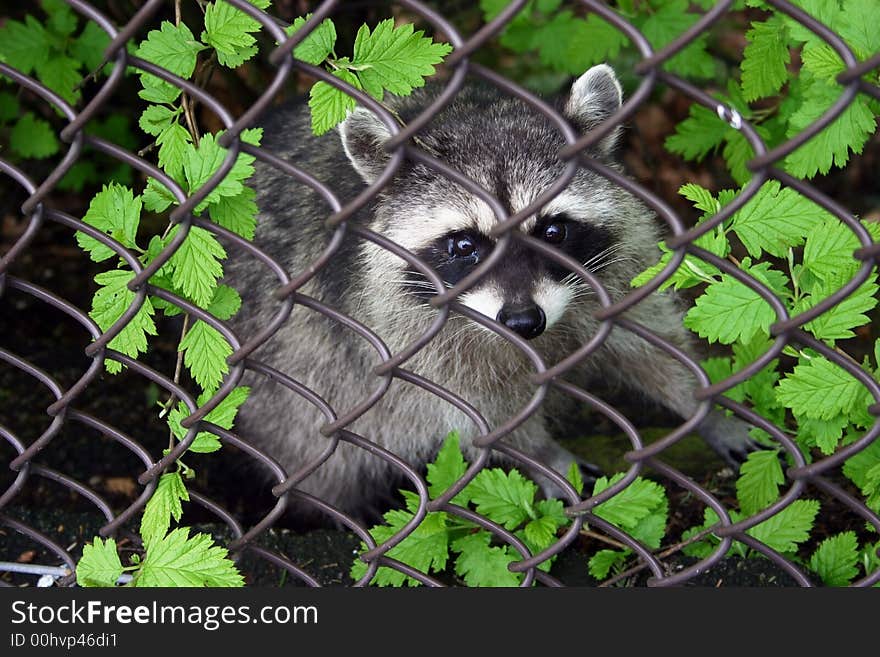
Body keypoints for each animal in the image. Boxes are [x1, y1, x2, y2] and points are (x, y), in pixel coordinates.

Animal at [227, 64, 756, 520]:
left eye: (553, 231)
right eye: (465, 245)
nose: (524, 322)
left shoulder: (617, 273)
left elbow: (650, 342)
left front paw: (702, 406)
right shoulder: (399, 334)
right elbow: (475, 410)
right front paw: (541, 451)